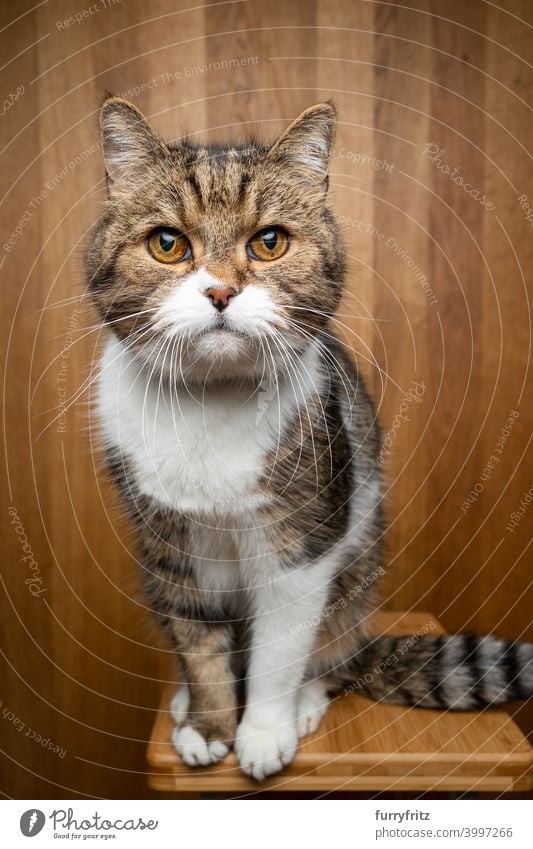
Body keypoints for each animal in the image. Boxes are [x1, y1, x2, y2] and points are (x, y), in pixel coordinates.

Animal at [89, 96, 532, 780]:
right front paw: (211, 723)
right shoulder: (168, 543)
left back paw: (305, 701)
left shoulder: (303, 538)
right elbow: (198, 640)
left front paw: (263, 731)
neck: (210, 404)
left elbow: (279, 649)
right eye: (168, 244)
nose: (220, 290)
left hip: (354, 572)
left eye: (269, 242)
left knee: (330, 655)